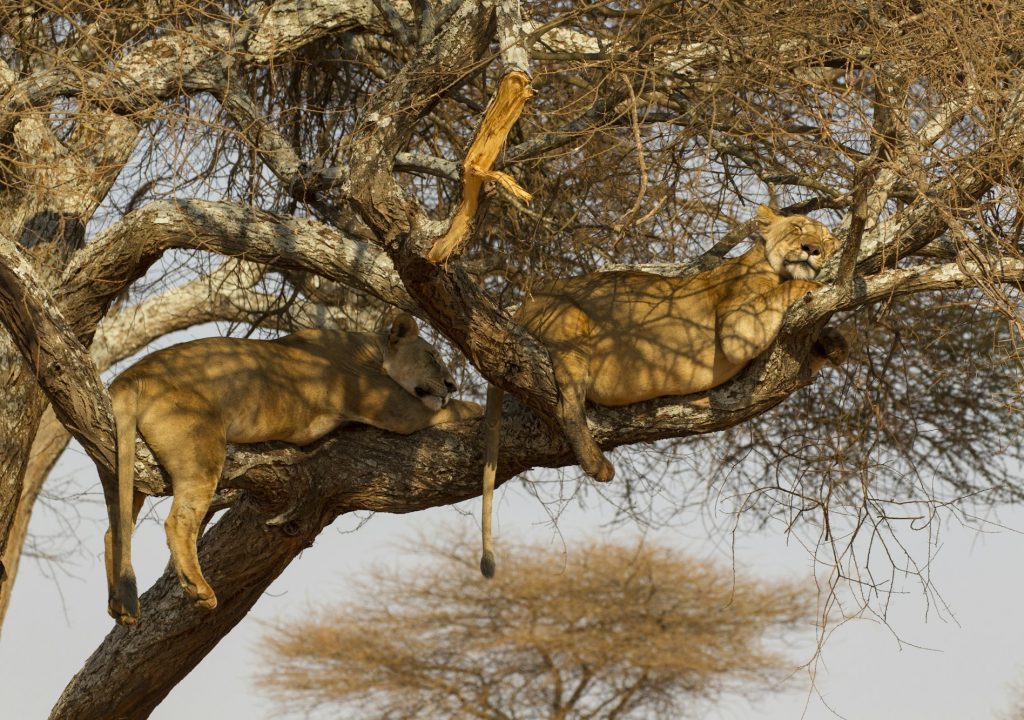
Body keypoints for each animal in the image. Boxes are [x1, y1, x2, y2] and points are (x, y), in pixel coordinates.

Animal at [104, 313, 483, 626]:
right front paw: (481, 405)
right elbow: (457, 408)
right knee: (179, 520)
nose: (451, 384)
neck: (370, 350)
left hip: (122, 467)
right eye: (431, 356)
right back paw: (199, 589)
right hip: (200, 448)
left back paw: (120, 606)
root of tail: (130, 375)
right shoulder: (400, 410)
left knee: (116, 529)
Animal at [479, 205, 847, 577]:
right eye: (797, 227)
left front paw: (835, 343)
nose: (812, 249)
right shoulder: (739, 326)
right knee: (567, 406)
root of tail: (524, 304)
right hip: (572, 323)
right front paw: (814, 285)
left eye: (826, 239)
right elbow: (789, 290)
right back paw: (596, 462)